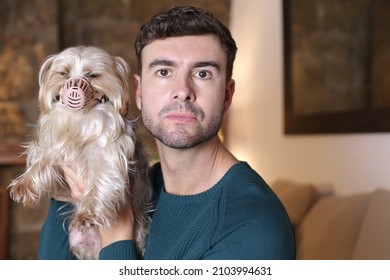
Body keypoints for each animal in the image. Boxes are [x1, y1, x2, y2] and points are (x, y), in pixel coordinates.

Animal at [8, 45, 152, 258]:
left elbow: (100, 180)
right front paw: (24, 184)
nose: (74, 88)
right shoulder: (55, 141)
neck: (79, 119)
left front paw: (88, 214)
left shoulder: (107, 153)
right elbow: (42, 159)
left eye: (91, 75)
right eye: (64, 73)